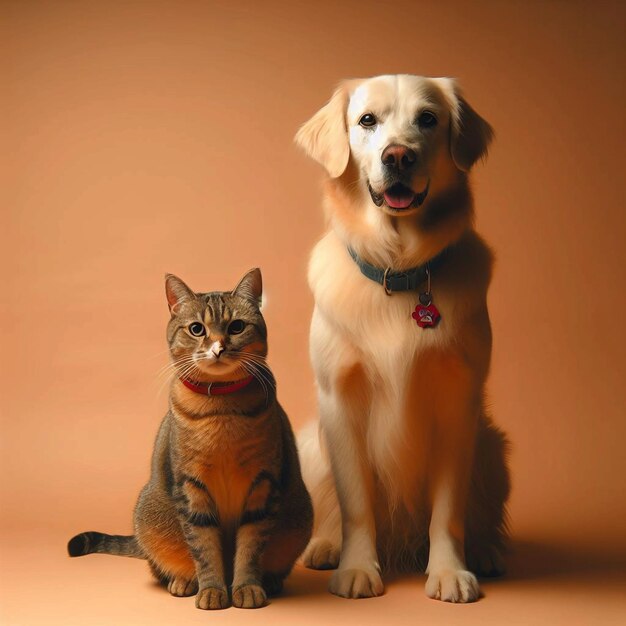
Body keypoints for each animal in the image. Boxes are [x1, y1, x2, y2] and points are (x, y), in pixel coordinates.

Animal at [68, 266, 312, 608]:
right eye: (197, 329)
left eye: (236, 327)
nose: (218, 347)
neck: (221, 408)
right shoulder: (190, 487)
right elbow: (204, 549)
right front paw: (212, 590)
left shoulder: (262, 485)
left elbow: (250, 548)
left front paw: (247, 587)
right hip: (151, 517)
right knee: (163, 566)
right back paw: (183, 581)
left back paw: (271, 581)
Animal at [292, 75, 508, 604]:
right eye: (367, 120)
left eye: (428, 119)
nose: (398, 156)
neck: (400, 270)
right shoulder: (340, 399)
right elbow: (355, 503)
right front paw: (356, 567)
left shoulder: (458, 403)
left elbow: (449, 510)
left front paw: (449, 571)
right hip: (310, 443)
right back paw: (324, 545)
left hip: (491, 445)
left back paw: (487, 551)